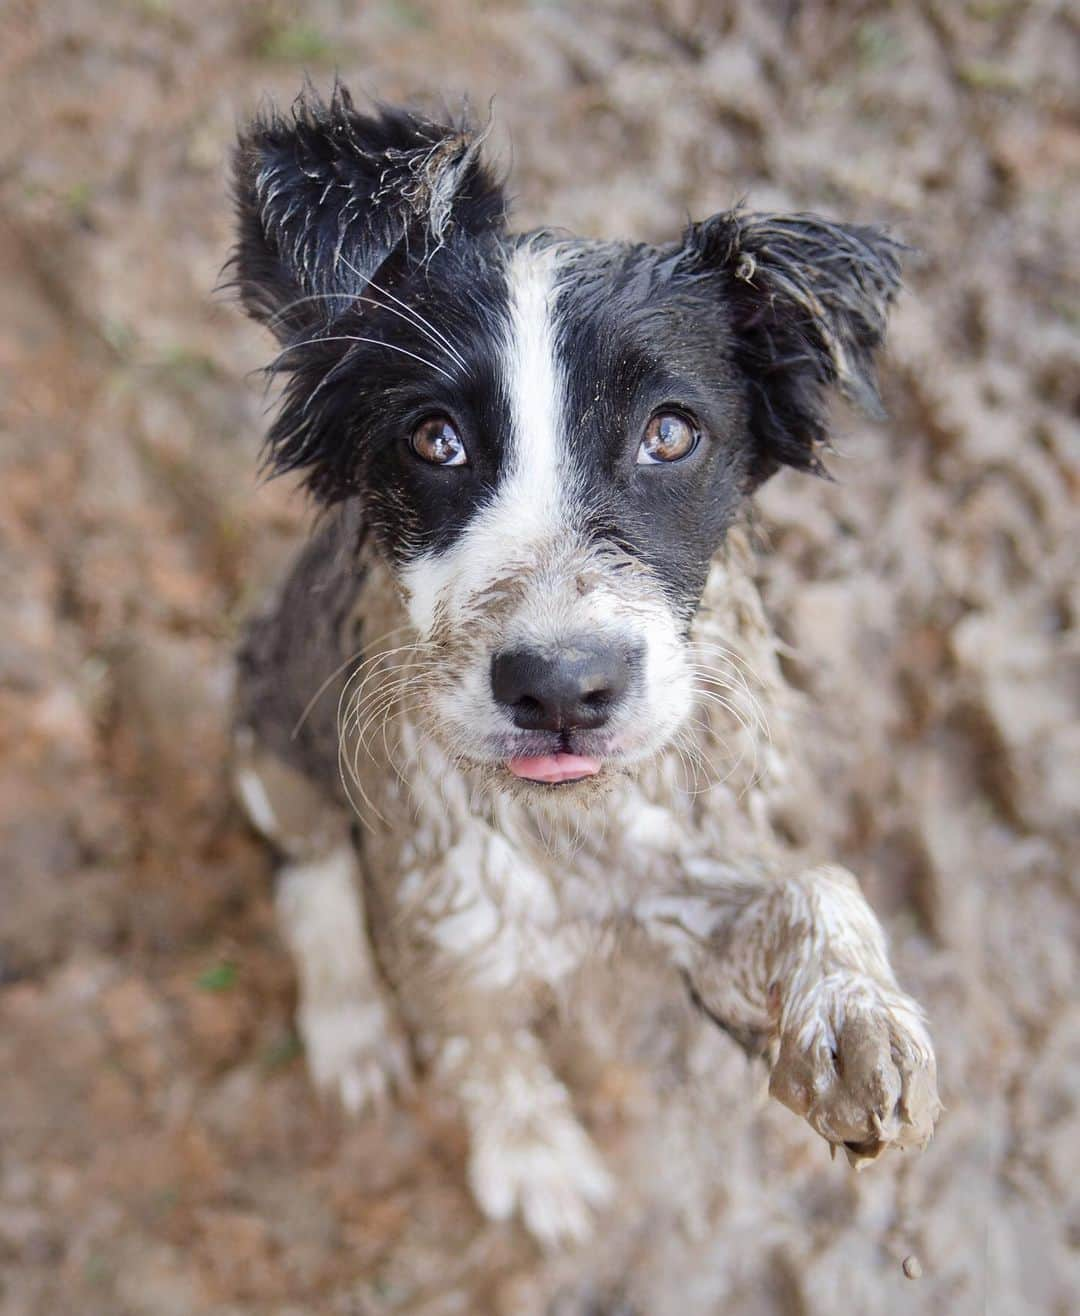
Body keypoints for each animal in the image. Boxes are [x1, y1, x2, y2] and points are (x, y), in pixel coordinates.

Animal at [227, 87, 936, 1247]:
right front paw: (535, 1158)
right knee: (308, 866)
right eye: (434, 438)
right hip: (263, 719)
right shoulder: (450, 918)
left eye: (671, 433)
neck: (572, 827)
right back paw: (349, 1025)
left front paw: (856, 1025)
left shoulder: (687, 858)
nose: (561, 687)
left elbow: (815, 879)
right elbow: (480, 1041)